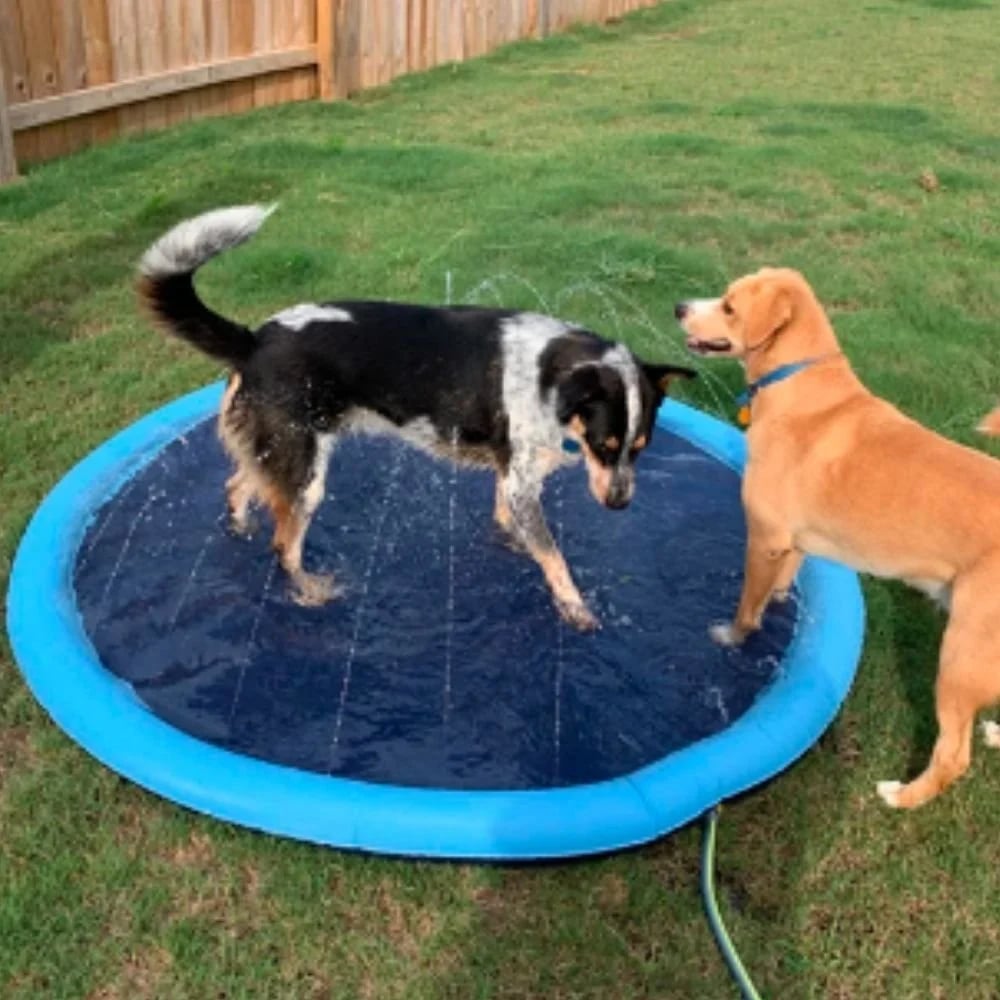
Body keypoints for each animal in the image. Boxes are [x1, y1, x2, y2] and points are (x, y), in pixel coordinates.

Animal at [139, 206, 696, 628]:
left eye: (640, 449)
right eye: (605, 447)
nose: (620, 505)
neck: (549, 372)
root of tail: (254, 339)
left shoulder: (513, 477)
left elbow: (514, 529)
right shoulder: (521, 479)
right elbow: (554, 557)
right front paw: (576, 609)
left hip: (277, 450)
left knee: (238, 486)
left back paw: (241, 531)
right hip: (305, 469)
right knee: (284, 545)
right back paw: (310, 590)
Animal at [676, 270, 1000, 808]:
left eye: (729, 306)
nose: (680, 306)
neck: (796, 379)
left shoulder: (763, 537)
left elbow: (747, 605)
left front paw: (733, 637)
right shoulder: (793, 543)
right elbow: (781, 585)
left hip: (963, 651)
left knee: (953, 756)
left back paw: (901, 796)